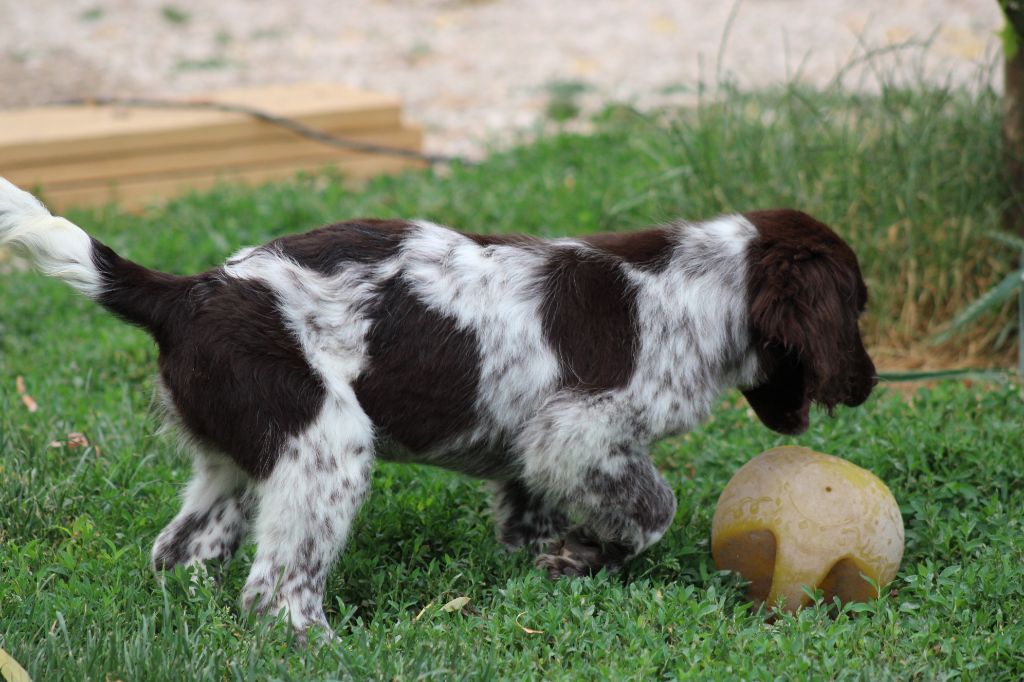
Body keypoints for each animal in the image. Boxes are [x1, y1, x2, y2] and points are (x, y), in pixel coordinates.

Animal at [2, 176, 880, 638]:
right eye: (857, 311)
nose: (871, 383)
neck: (699, 294)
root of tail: (184, 294)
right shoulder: (583, 432)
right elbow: (651, 511)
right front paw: (592, 555)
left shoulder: (538, 450)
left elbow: (533, 519)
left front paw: (556, 563)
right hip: (326, 445)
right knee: (276, 586)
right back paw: (319, 646)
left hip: (240, 455)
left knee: (181, 549)